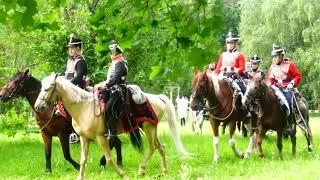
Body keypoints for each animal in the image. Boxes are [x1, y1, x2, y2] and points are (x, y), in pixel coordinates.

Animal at [33, 73, 189, 180]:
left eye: (47, 89)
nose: (37, 107)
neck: (84, 108)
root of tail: (158, 97)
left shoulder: (101, 138)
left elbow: (108, 158)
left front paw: (123, 175)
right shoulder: (84, 138)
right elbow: (83, 160)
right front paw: (80, 176)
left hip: (148, 128)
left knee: (152, 147)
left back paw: (141, 169)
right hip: (152, 128)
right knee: (160, 147)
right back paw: (164, 171)